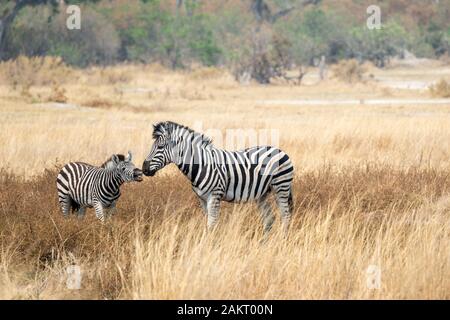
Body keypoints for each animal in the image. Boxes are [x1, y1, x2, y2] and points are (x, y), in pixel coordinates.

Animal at [142, 121, 294, 234]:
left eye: (160, 146)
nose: (144, 169)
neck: (201, 164)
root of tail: (280, 151)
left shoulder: (214, 196)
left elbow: (212, 225)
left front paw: (209, 246)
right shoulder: (202, 199)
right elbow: (208, 224)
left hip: (281, 187)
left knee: (285, 216)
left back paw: (282, 241)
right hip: (262, 194)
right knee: (269, 219)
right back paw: (264, 244)